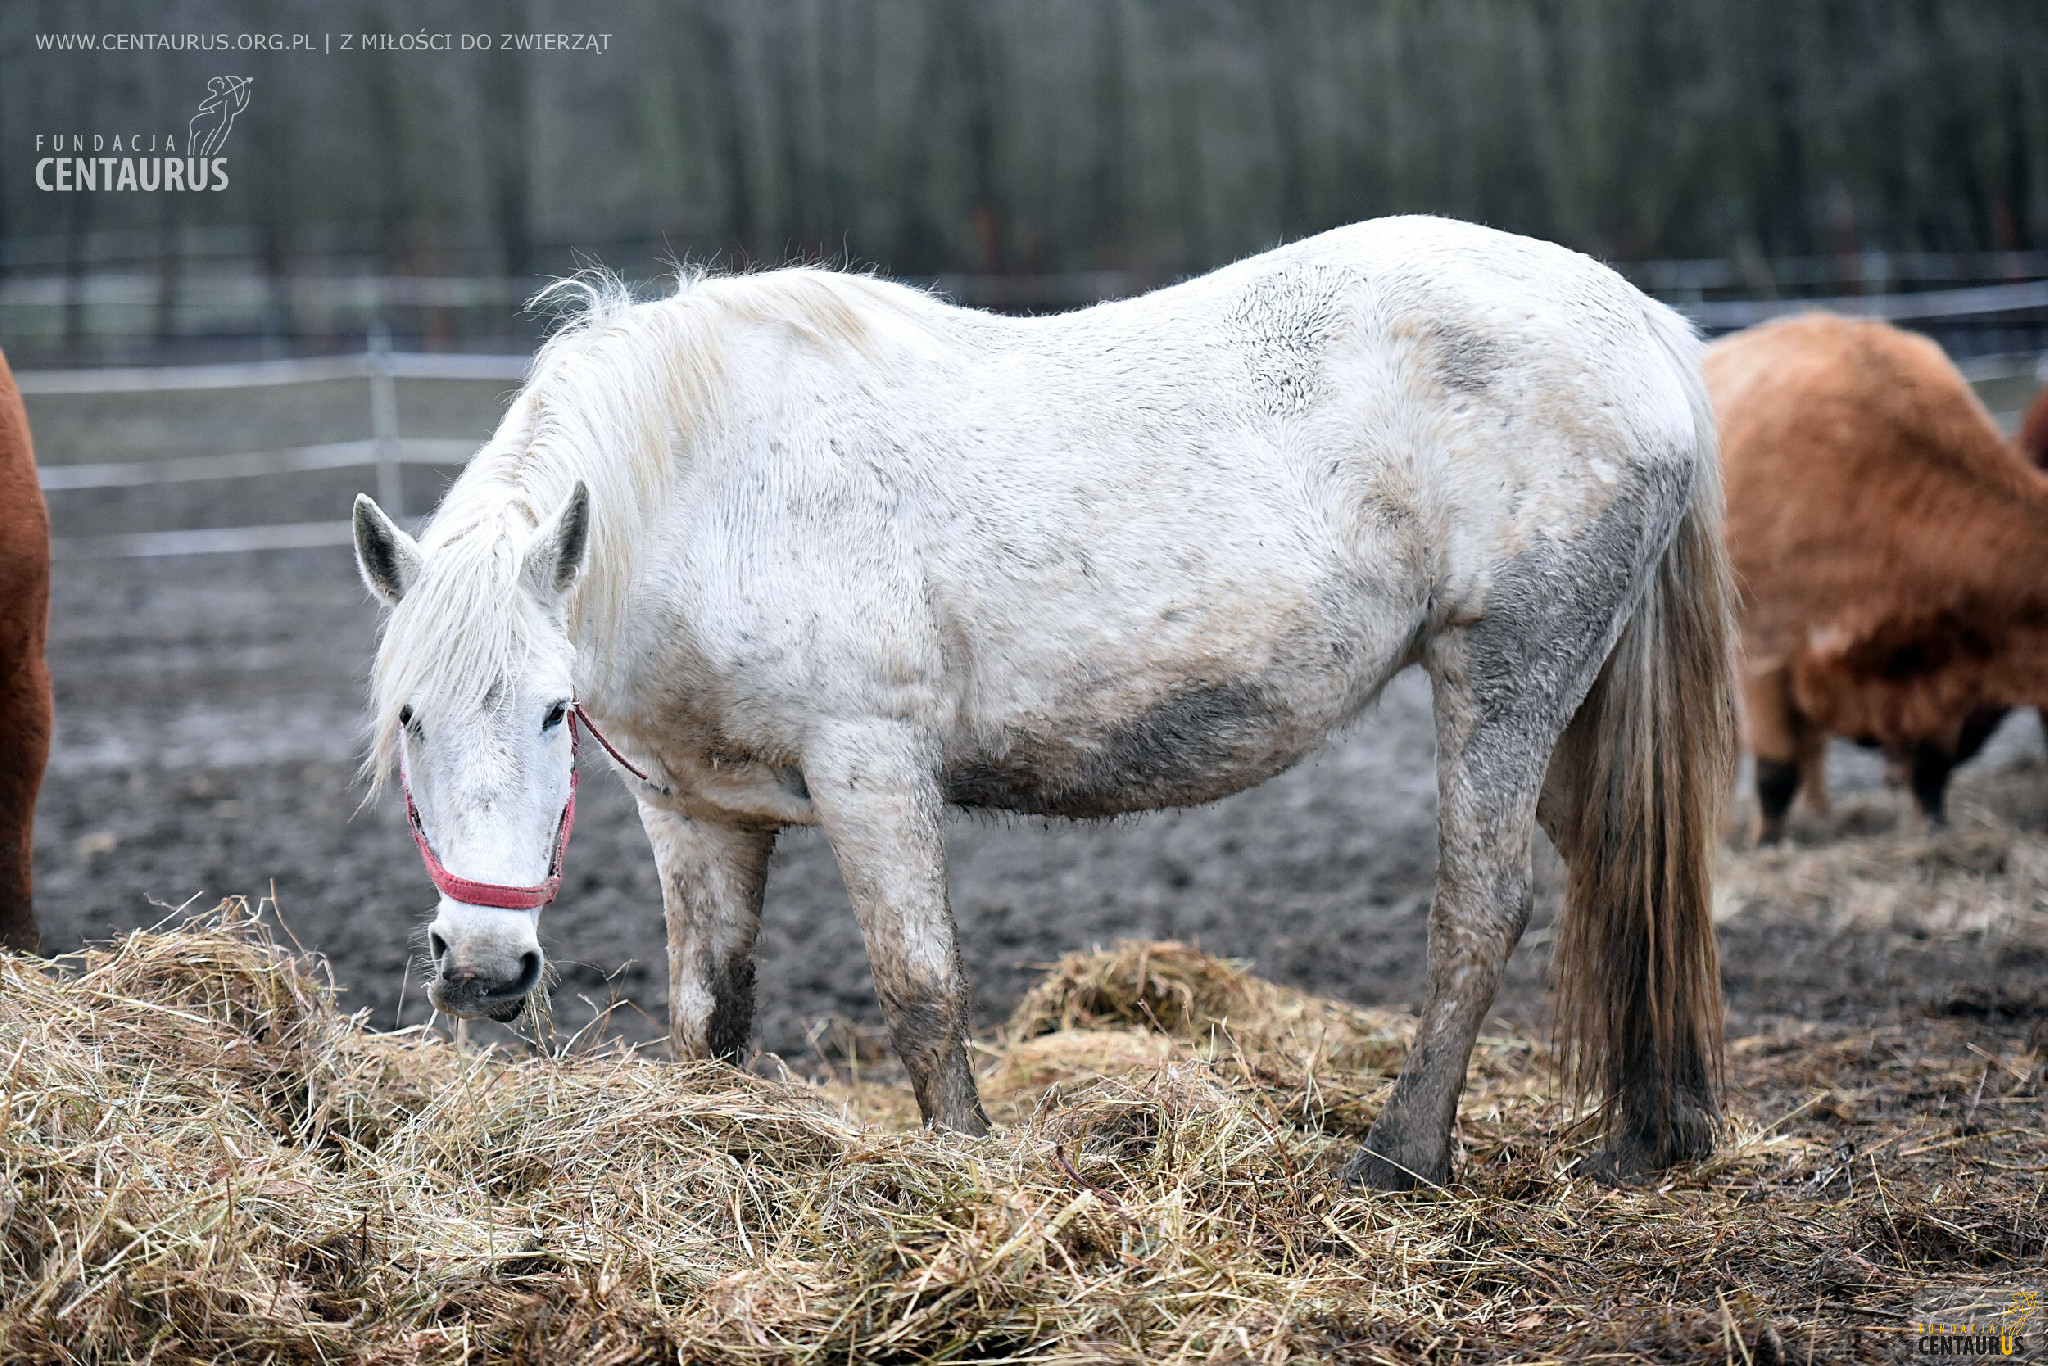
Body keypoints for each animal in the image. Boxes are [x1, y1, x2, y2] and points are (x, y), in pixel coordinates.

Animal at [352, 214, 1728, 1187]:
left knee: (1480, 910)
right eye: (409, 719)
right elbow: (711, 1010)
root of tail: (1639, 322)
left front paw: (967, 1169)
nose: (481, 969)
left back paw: (1398, 1159)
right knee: (1624, 872)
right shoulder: (695, 809)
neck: (705, 489)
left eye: (547, 710)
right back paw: (1645, 1141)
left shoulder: (869, 768)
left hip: (1502, 677)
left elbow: (918, 988)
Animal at [1703, 317, 2048, 843]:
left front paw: (1933, 834)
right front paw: (1767, 844)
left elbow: (1929, 768)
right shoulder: (1761, 653)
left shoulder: (1947, 666)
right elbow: (1775, 771)